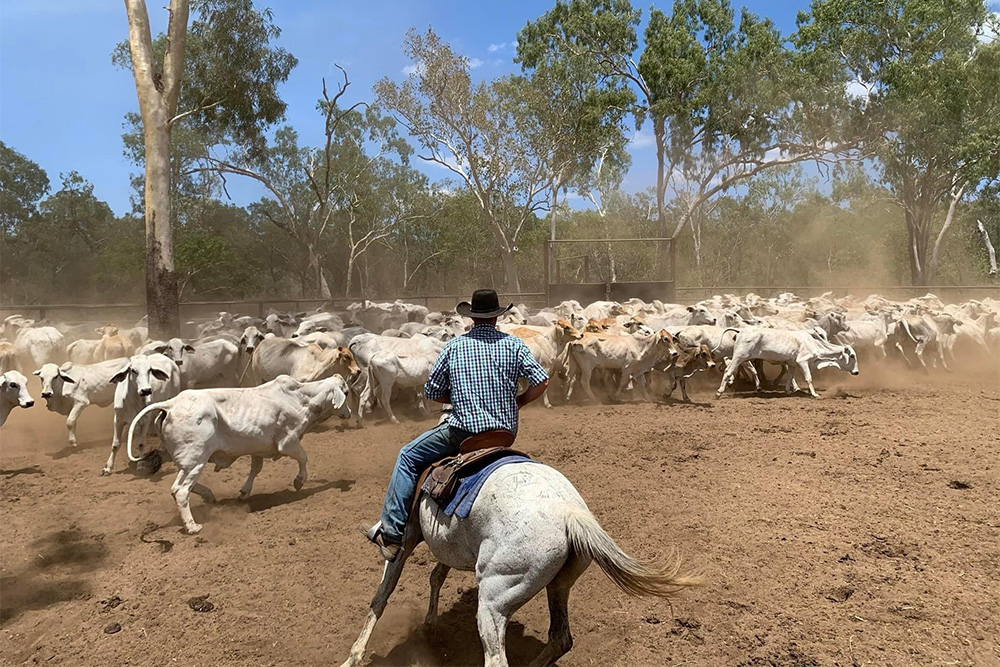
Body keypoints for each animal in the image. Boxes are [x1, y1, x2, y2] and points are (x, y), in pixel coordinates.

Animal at [125, 376, 352, 536]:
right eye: (347, 393)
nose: (349, 413)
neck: (301, 398)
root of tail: (171, 404)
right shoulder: (288, 442)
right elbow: (303, 458)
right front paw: (299, 481)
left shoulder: (258, 447)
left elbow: (256, 469)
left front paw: (244, 492)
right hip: (195, 460)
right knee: (180, 491)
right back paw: (193, 527)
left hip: (190, 463)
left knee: (181, 487)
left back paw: (209, 496)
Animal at [340, 462, 700, 667]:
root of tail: (570, 513)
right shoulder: (449, 546)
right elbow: (436, 576)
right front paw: (430, 623)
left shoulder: (407, 538)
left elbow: (382, 595)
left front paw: (353, 656)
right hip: (559, 585)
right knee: (560, 638)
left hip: (493, 604)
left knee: (497, 659)